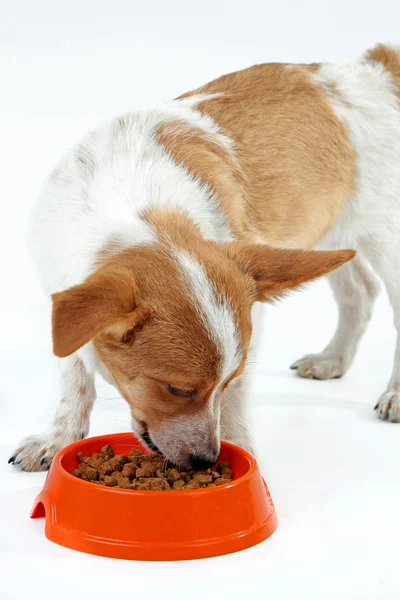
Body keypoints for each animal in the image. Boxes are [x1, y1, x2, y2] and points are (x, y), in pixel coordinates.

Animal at [9, 44, 400, 472]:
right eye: (177, 389)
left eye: (226, 381)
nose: (205, 461)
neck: (139, 206)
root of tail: (375, 69)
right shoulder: (63, 293)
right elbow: (74, 376)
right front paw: (58, 438)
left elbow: (234, 405)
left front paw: (242, 450)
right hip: (327, 235)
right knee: (360, 291)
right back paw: (334, 359)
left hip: (383, 240)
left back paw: (394, 393)